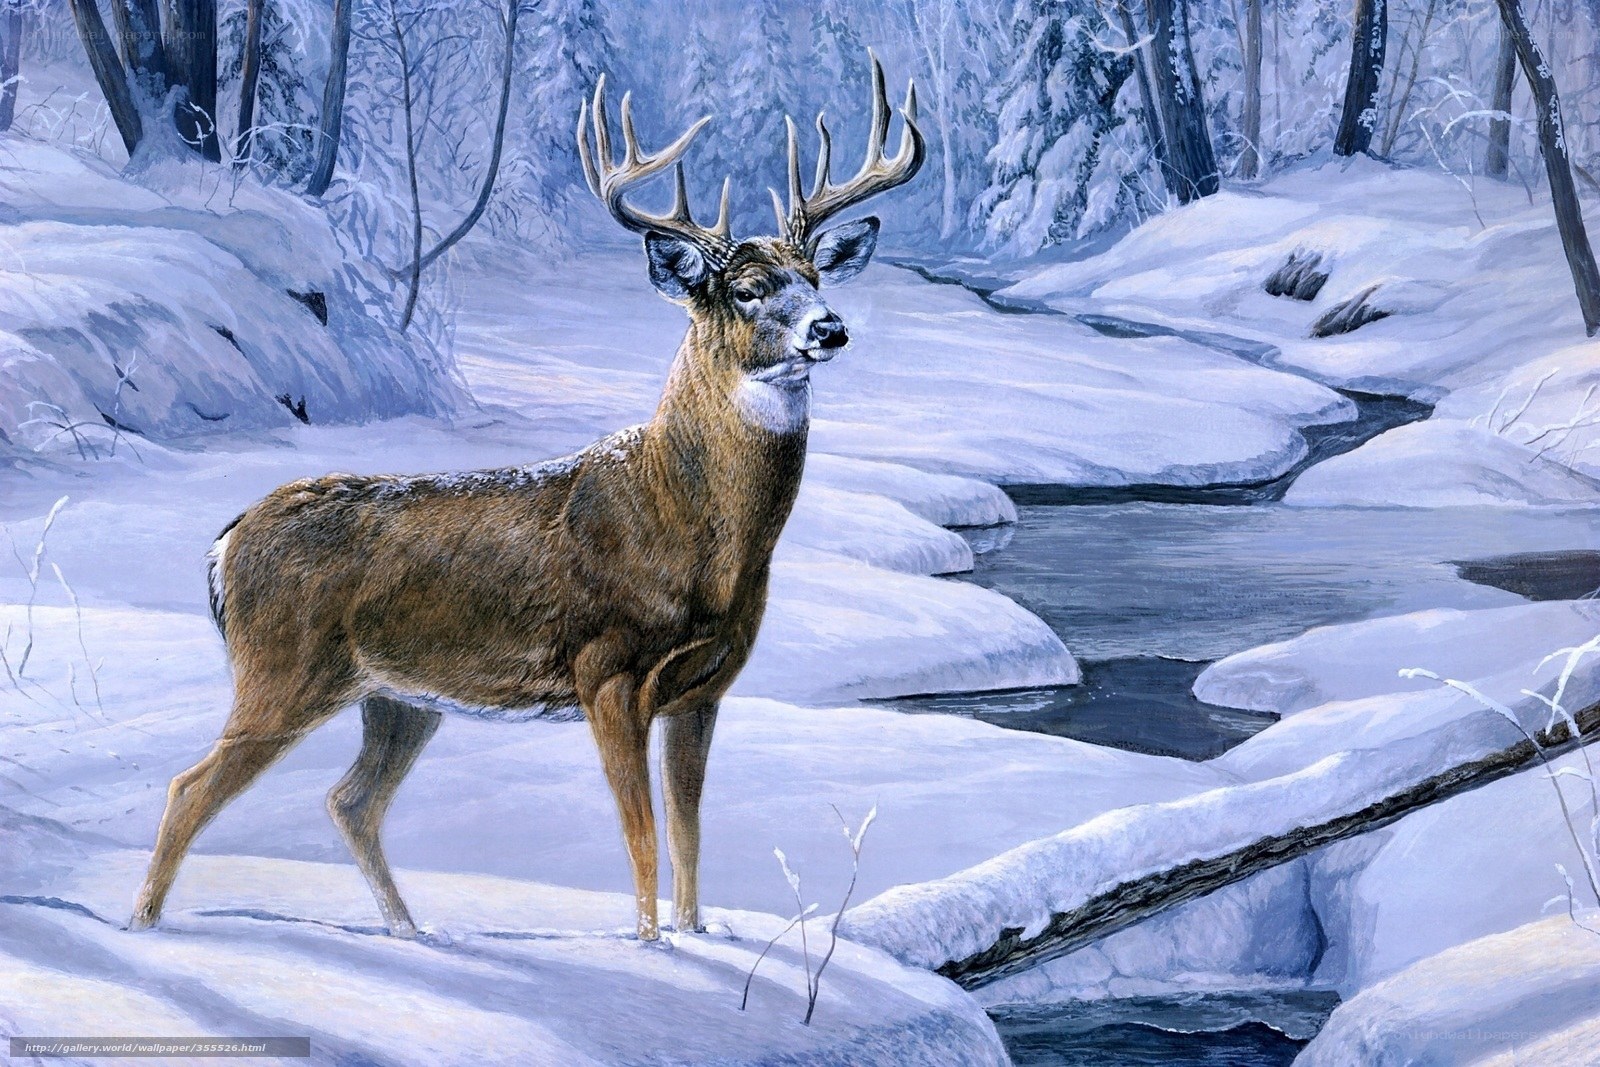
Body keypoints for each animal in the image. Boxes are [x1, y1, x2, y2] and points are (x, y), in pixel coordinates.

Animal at [130, 56, 924, 943]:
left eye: (813, 276)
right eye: (748, 289)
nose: (830, 327)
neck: (689, 529)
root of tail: (224, 542)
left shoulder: (704, 688)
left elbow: (690, 837)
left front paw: (695, 936)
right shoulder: (605, 666)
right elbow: (643, 838)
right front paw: (648, 946)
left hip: (397, 696)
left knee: (350, 799)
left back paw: (410, 931)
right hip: (282, 666)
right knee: (189, 786)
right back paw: (144, 925)